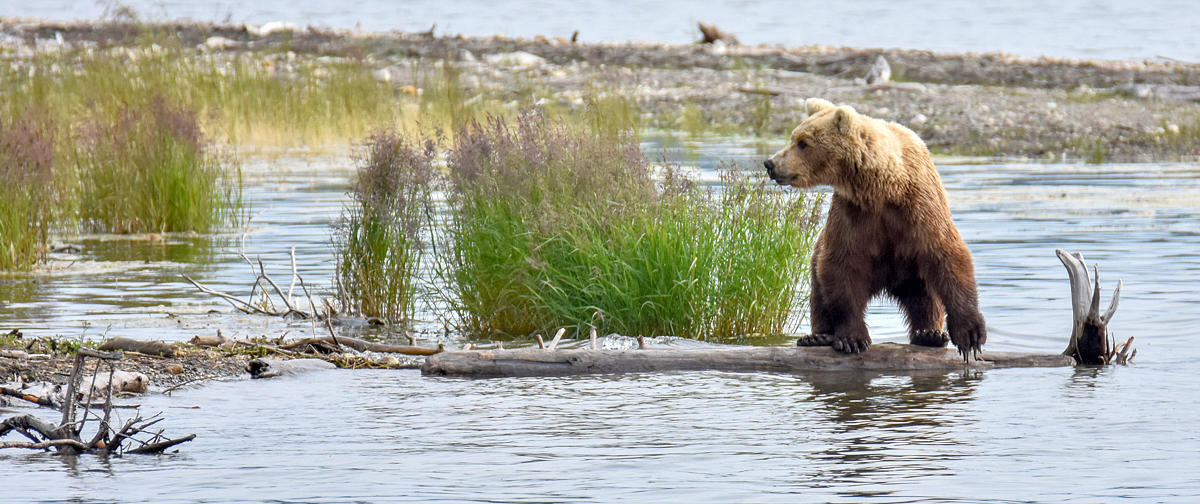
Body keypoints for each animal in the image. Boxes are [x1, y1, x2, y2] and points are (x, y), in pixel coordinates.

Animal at [763, 97, 988, 357]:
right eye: (793, 137)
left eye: (803, 143)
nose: (770, 163)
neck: (883, 189)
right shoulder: (853, 214)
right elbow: (841, 267)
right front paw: (852, 339)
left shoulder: (920, 209)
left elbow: (948, 257)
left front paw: (970, 335)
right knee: (818, 293)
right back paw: (817, 336)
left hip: (911, 270)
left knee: (926, 294)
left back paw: (929, 334)